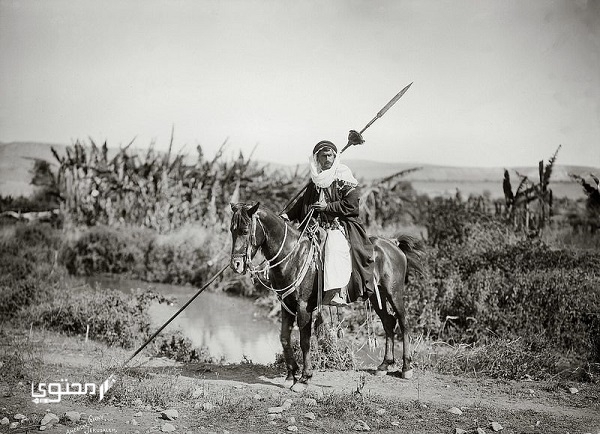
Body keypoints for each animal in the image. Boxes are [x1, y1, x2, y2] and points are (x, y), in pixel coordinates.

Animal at [227, 203, 424, 390]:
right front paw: (291, 374)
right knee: (389, 322)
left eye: (245, 230)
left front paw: (304, 378)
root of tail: (393, 243)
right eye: (231, 230)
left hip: (394, 293)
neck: (293, 255)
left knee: (403, 323)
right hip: (377, 295)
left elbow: (305, 341)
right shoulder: (286, 305)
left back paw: (406, 367)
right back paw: (384, 365)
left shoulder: (303, 307)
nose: (236, 264)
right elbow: (284, 338)